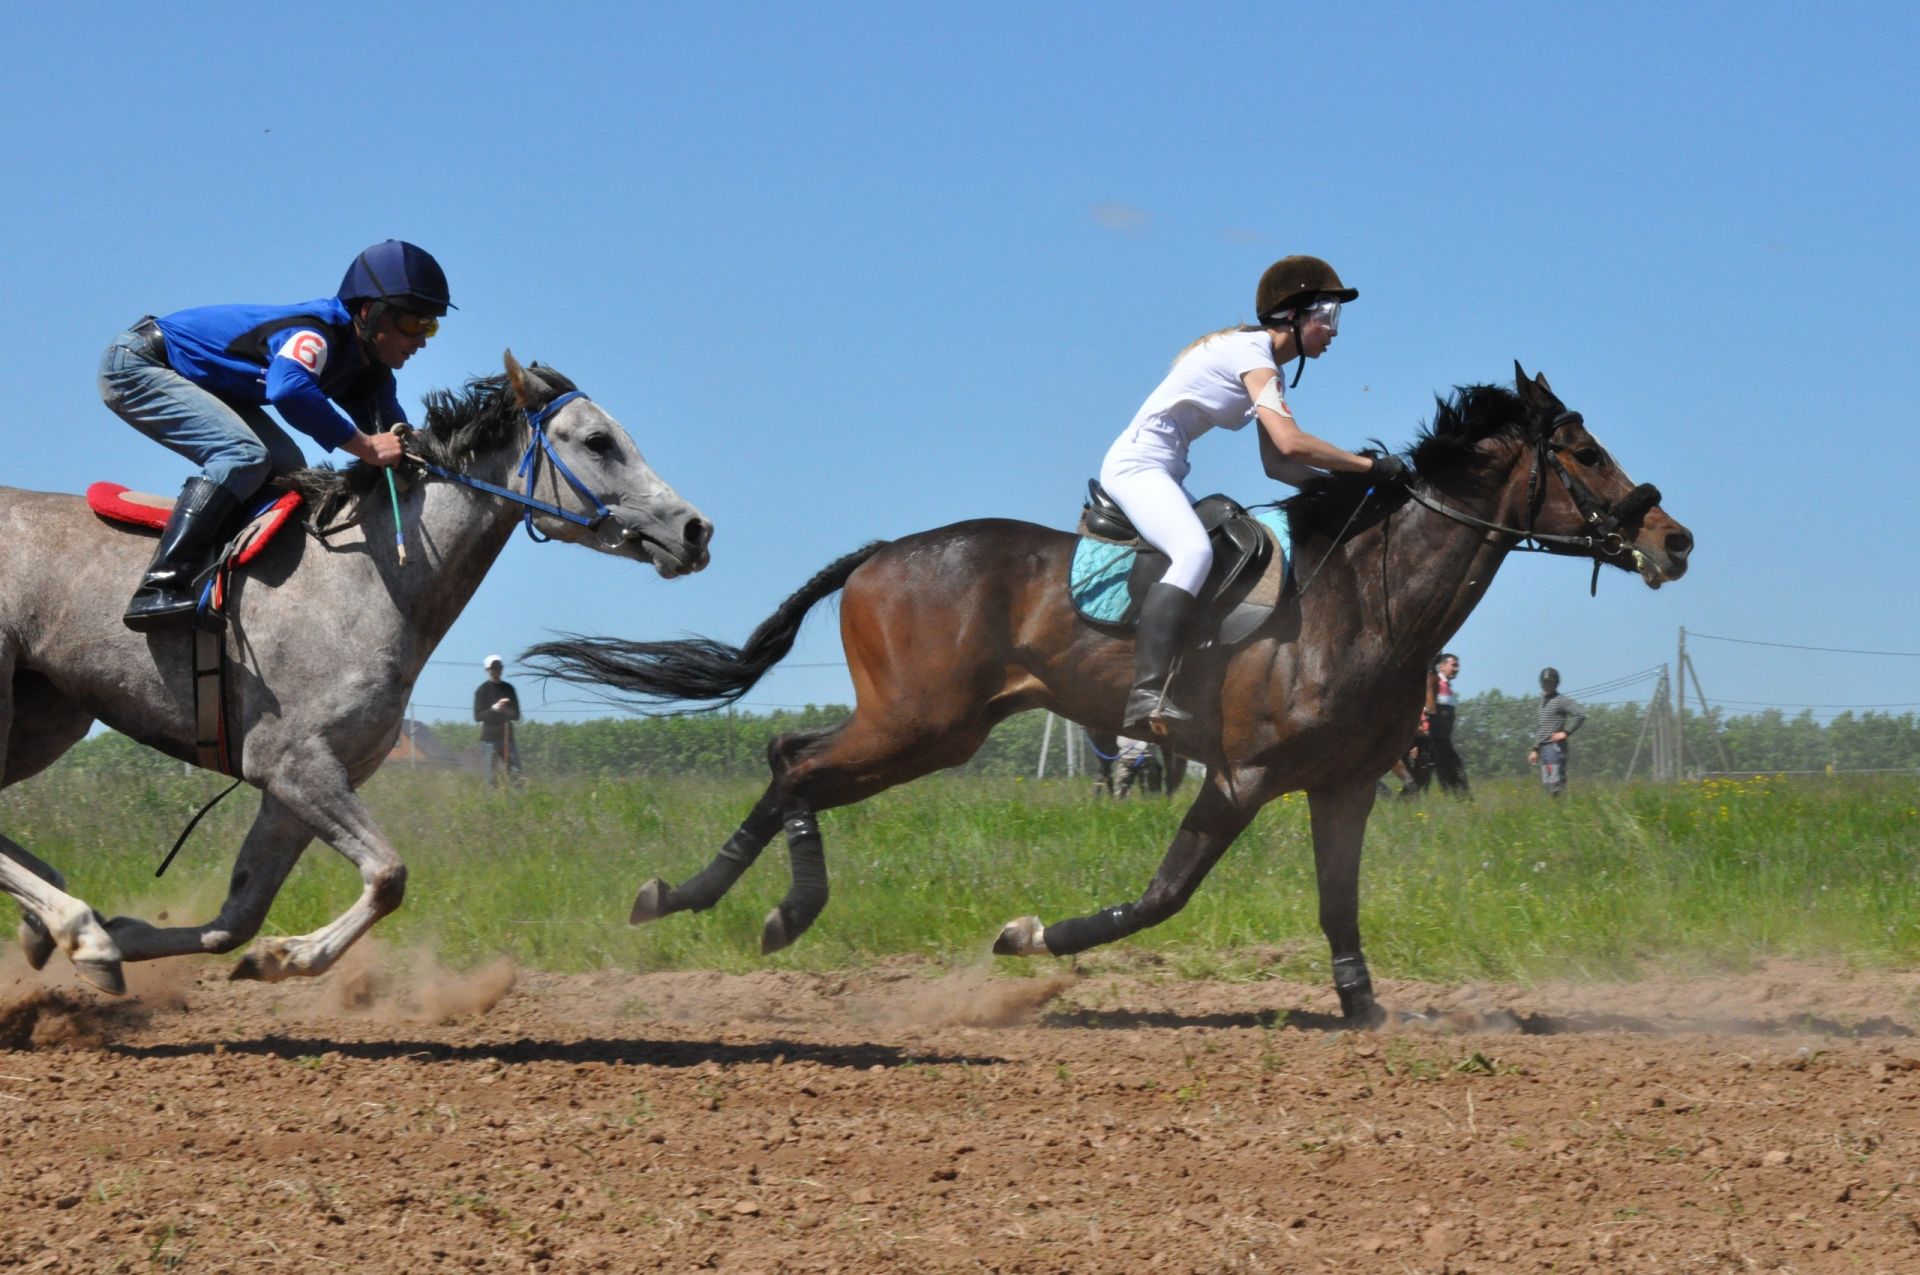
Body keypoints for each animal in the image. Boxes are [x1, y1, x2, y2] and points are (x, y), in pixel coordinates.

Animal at [0, 351, 714, 998]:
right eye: (598, 441)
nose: (696, 529)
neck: (367, 578)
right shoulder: (293, 763)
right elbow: (389, 874)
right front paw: (277, 954)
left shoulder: (299, 784)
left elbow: (237, 917)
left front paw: (253, 953)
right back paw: (76, 929)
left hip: (48, 716)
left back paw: (52, 922)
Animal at [533, 362, 1689, 1021]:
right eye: (1584, 450)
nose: (1673, 538)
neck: (1369, 602)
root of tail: (883, 555)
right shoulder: (1241, 775)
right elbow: (1166, 893)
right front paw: (1030, 938)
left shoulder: (1344, 786)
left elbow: (1338, 904)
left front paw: (1366, 1015)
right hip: (920, 724)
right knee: (797, 766)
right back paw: (765, 908)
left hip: (932, 729)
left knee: (790, 764)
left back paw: (703, 899)